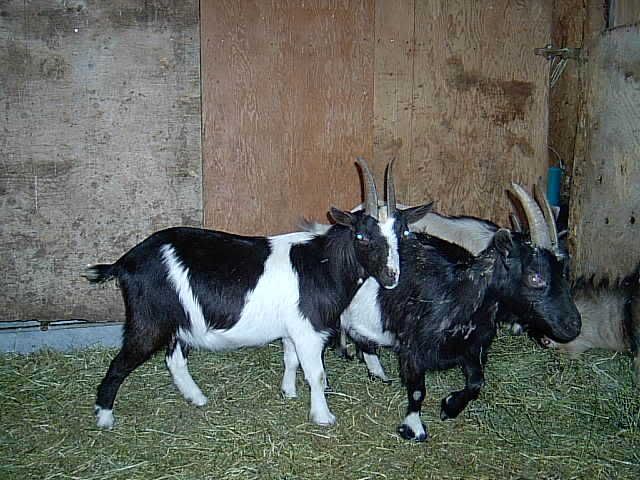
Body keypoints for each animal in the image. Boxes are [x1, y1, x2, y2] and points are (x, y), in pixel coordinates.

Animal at [83, 158, 431, 429]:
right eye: (361, 235)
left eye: (404, 232)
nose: (391, 276)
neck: (325, 263)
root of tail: (126, 262)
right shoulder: (308, 330)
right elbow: (316, 374)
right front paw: (323, 417)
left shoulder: (292, 330)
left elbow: (290, 361)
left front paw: (288, 392)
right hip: (149, 320)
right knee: (119, 365)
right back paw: (104, 418)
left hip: (182, 321)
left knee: (175, 359)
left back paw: (197, 398)